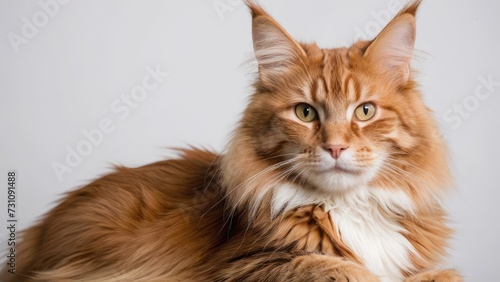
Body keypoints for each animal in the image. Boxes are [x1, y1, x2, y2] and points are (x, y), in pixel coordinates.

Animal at [1, 0, 460, 282]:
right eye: (305, 113)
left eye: (364, 111)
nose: (335, 147)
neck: (348, 206)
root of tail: (36, 237)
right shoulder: (240, 265)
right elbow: (331, 267)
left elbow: (443, 274)